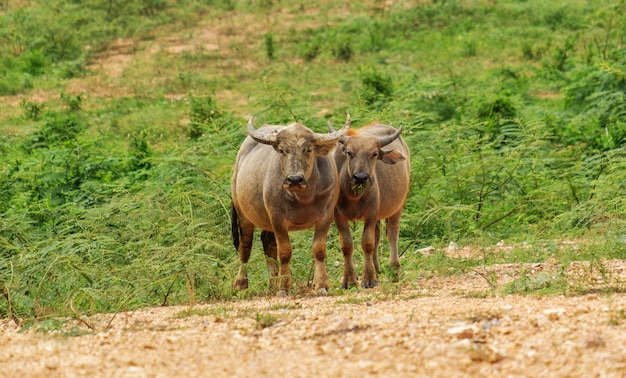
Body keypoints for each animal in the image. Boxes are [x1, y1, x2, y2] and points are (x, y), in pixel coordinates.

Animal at [229, 115, 348, 296]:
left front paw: (321, 284)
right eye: (282, 150)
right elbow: (284, 252)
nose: (294, 179)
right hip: (243, 215)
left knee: (267, 242)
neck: (304, 197)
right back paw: (241, 284)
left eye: (308, 149)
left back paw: (272, 283)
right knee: (245, 247)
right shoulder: (277, 218)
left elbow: (319, 250)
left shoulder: (326, 216)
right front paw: (284, 287)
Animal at [326, 122, 410, 288]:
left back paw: (394, 269)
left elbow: (367, 243)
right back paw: (377, 268)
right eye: (349, 153)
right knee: (377, 235)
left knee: (392, 233)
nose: (360, 177)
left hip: (397, 207)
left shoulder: (371, 213)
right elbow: (347, 245)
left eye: (374, 154)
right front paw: (349, 280)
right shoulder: (338, 215)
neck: (354, 196)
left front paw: (369, 278)